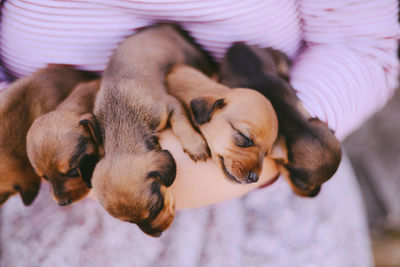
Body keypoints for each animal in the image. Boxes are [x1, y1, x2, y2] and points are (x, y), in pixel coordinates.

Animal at [92, 25, 214, 238]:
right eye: (130, 222)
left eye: (155, 208)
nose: (156, 235)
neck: (120, 118)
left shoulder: (170, 105)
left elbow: (182, 126)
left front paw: (194, 145)